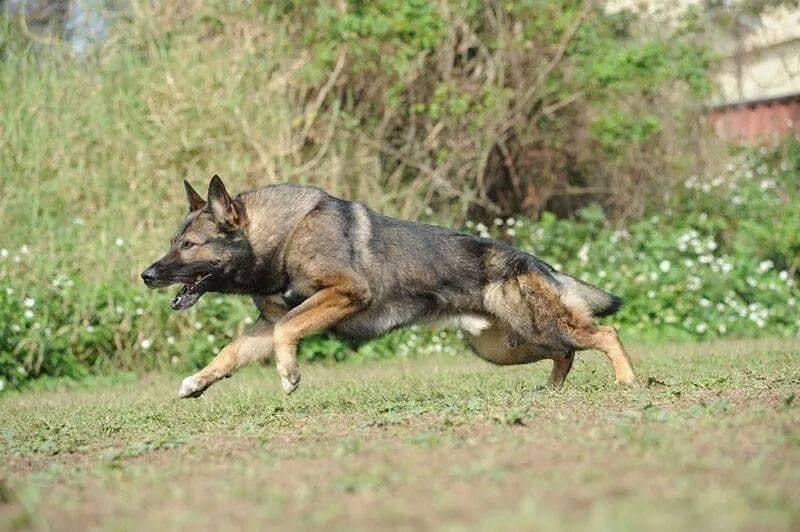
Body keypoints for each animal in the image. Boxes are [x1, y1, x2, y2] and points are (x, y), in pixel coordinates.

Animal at [141, 177, 636, 396]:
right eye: (172, 242)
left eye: (188, 245)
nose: (147, 274)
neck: (282, 236)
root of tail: (534, 261)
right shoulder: (268, 324)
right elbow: (231, 352)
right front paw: (198, 382)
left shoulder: (343, 294)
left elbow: (288, 332)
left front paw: (289, 374)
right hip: (505, 346)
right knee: (566, 352)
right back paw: (551, 390)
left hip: (535, 324)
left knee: (604, 334)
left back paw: (627, 381)